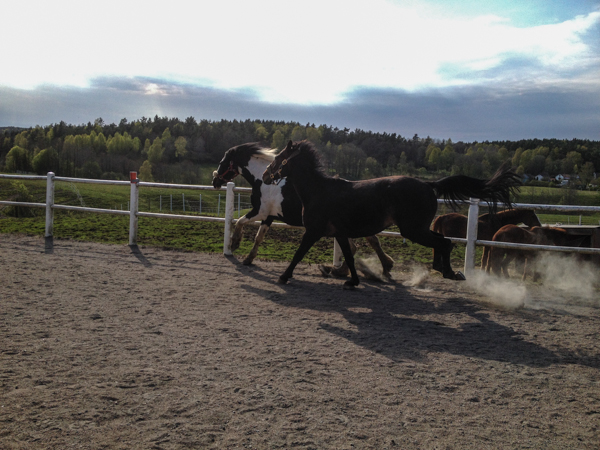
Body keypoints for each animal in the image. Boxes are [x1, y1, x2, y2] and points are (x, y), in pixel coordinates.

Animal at [212, 142, 394, 277]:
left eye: (222, 162)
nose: (215, 182)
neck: (262, 182)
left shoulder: (259, 211)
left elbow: (240, 221)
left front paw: (234, 243)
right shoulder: (269, 216)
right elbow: (258, 237)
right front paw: (249, 258)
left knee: (362, 244)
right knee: (363, 243)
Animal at [262, 140, 521, 288]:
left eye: (278, 158)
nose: (265, 175)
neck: (319, 190)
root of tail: (429, 184)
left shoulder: (313, 231)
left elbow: (299, 254)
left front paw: (284, 276)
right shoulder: (340, 233)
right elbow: (349, 256)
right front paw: (352, 280)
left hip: (413, 230)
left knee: (444, 242)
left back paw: (450, 272)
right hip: (418, 228)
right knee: (441, 241)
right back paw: (441, 270)